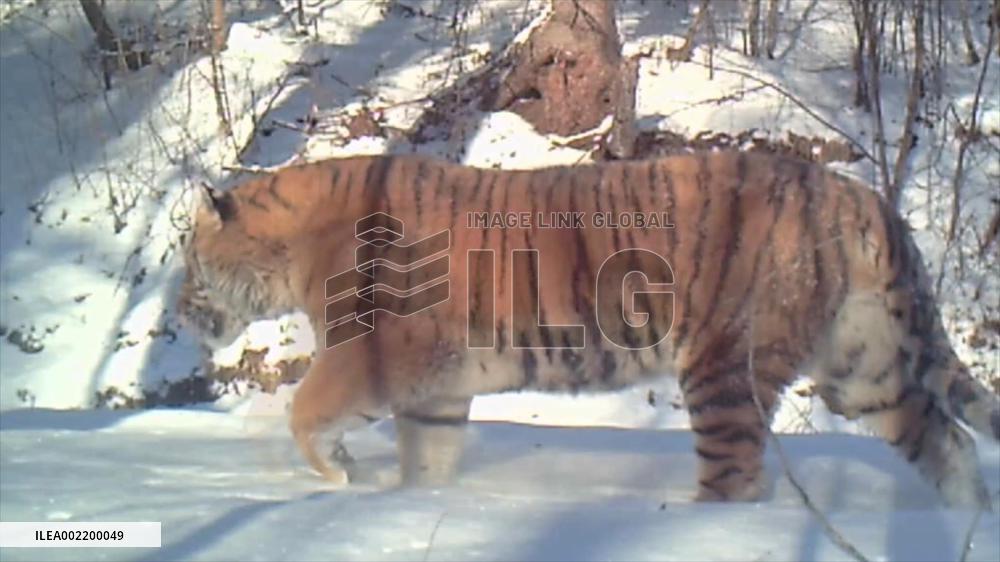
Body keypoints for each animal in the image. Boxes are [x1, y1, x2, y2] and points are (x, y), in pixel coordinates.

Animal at [178, 149, 999, 508]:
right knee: (950, 445)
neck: (292, 248)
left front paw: (341, 477)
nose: (182, 313)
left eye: (187, 262)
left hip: (723, 367)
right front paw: (412, 505)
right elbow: (427, 459)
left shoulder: (367, 355)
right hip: (864, 366)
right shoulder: (434, 386)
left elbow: (302, 411)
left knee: (734, 476)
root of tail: (857, 193)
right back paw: (960, 527)